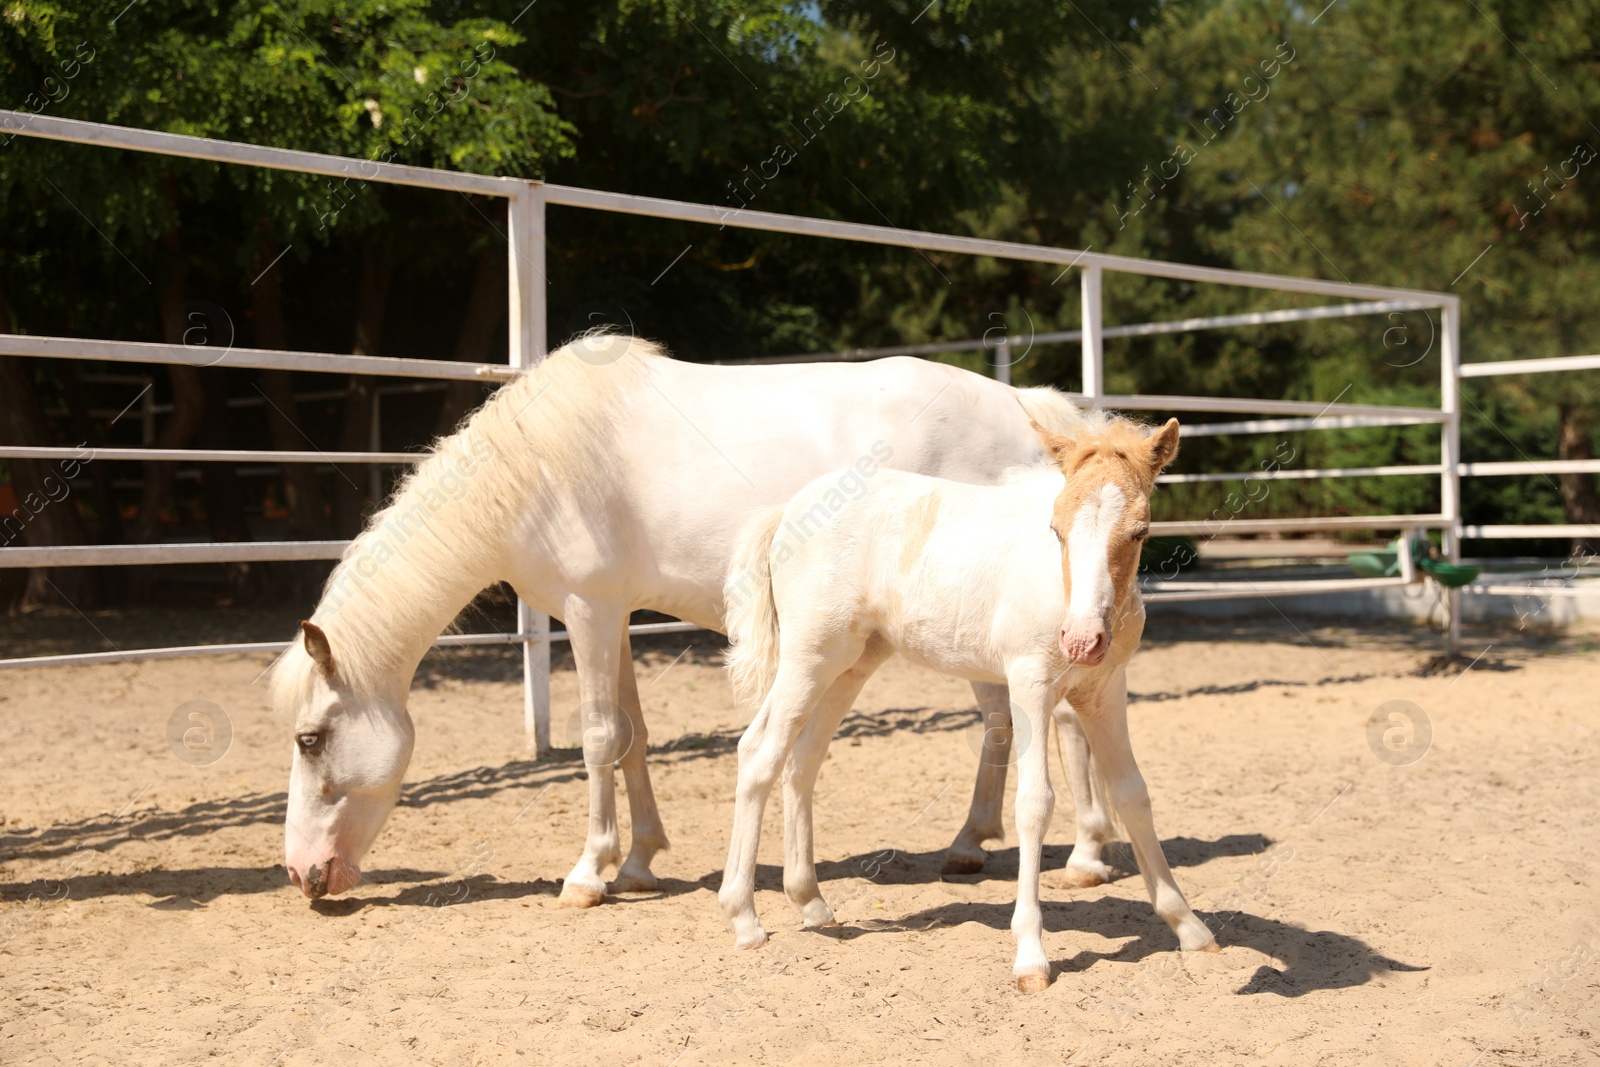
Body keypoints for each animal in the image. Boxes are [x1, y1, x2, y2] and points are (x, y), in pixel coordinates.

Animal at [268, 335, 1113, 908]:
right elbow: (634, 736)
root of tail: (1031, 412)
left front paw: (588, 873)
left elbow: (597, 739)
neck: (539, 468)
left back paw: (1083, 855)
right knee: (1019, 719)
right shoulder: (614, 617)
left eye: (310, 739)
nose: (304, 874)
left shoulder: (589, 611)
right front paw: (641, 861)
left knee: (1058, 719)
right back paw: (978, 845)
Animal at [723, 412, 1209, 991]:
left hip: (850, 665)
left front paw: (1189, 927)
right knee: (759, 752)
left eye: (1140, 532)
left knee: (803, 759)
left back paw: (812, 904)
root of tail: (788, 511)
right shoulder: (1029, 684)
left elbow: (1133, 795)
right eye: (1056, 529)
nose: (1081, 641)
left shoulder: (1105, 691)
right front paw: (1030, 956)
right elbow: (1035, 804)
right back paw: (745, 918)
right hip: (807, 658)